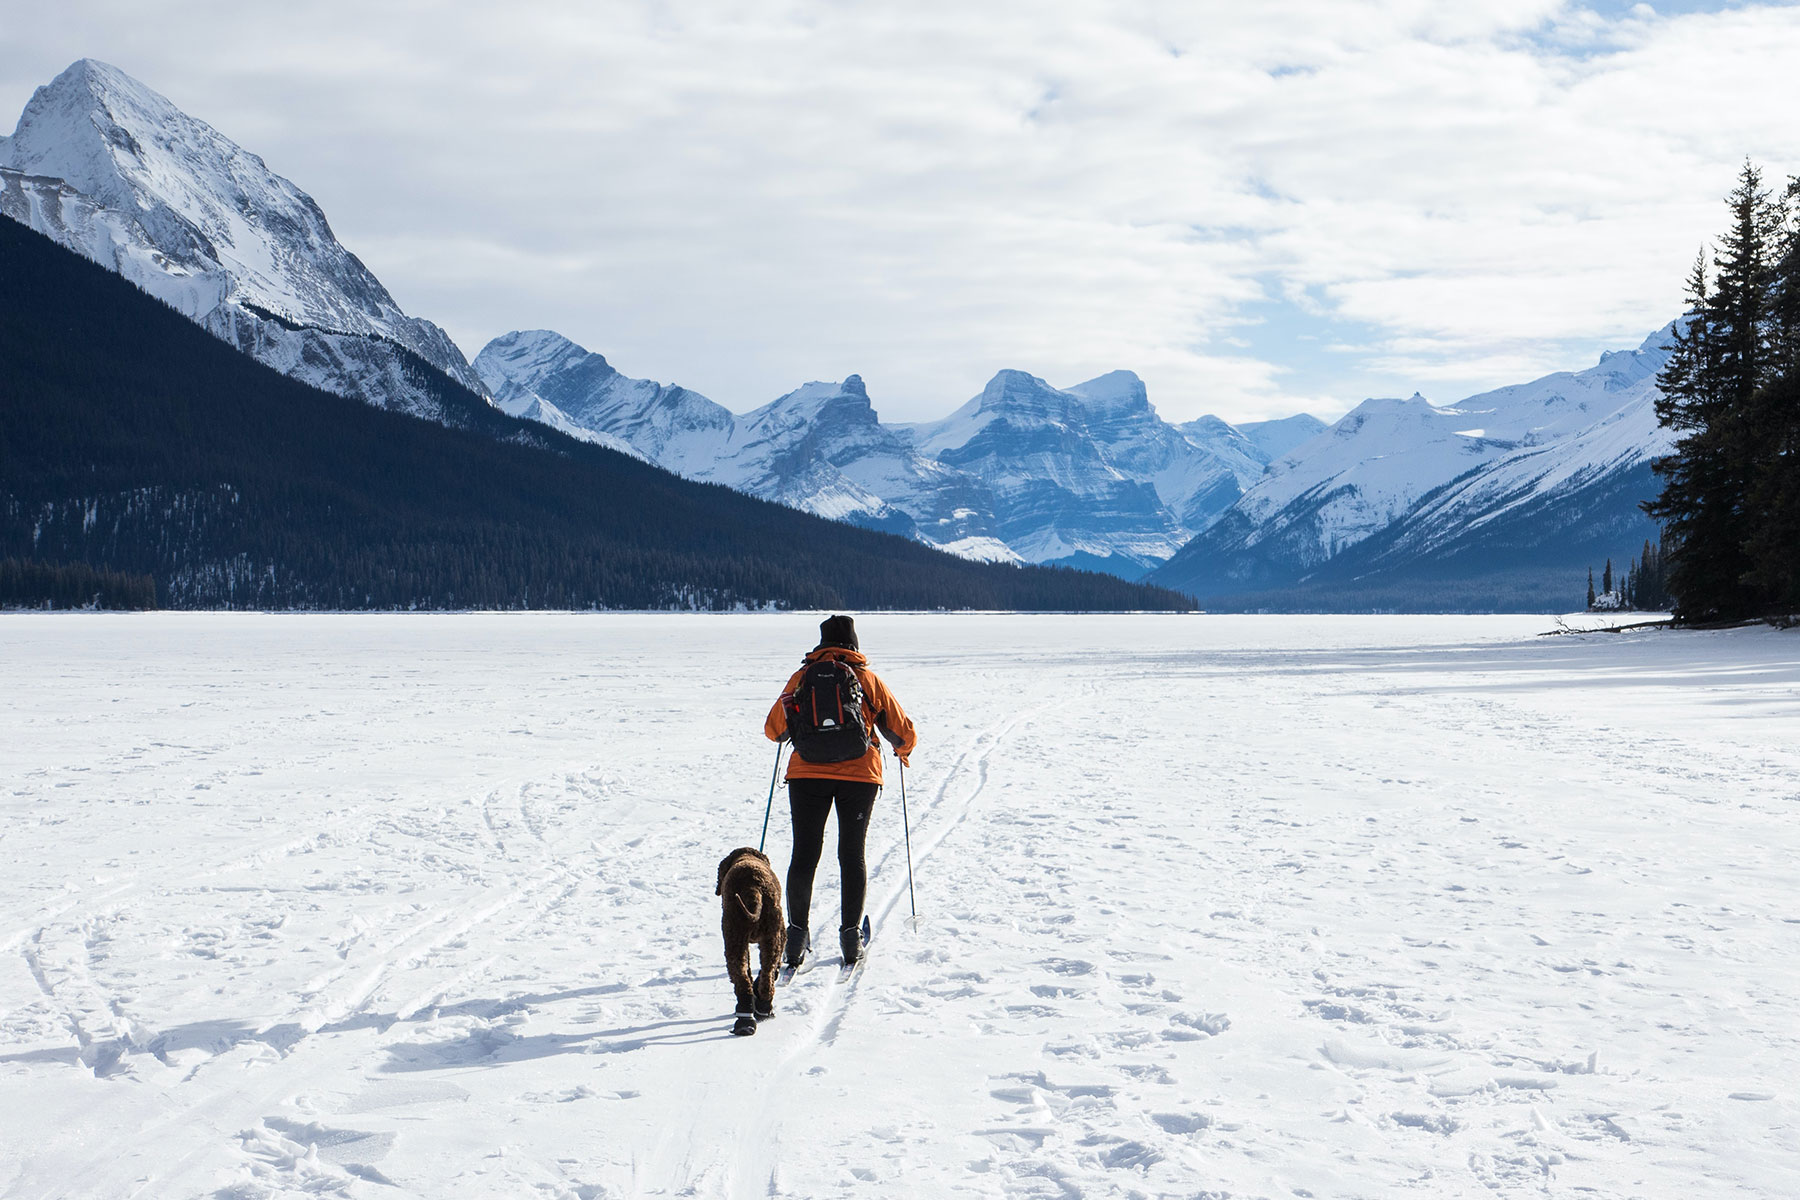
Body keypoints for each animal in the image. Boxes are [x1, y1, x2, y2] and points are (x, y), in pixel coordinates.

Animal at [712, 849, 784, 1036]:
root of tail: (753, 889)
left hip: (736, 938)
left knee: (747, 977)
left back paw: (747, 1019)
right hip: (769, 936)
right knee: (766, 976)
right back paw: (761, 1011)